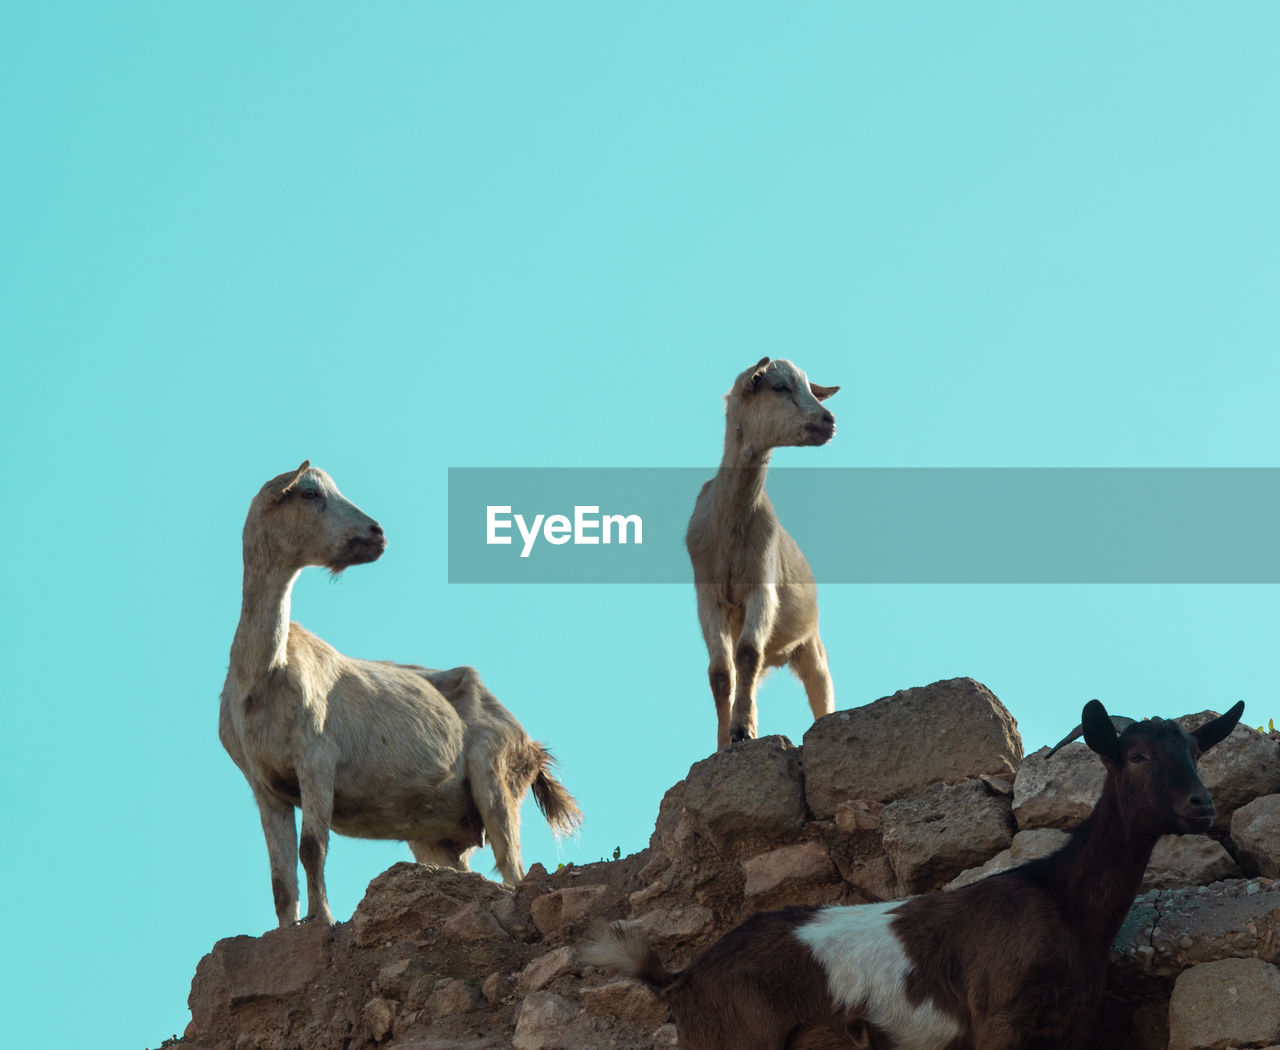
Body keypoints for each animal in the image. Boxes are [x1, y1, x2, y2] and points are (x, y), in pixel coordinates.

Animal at [218, 463, 581, 921]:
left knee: (511, 866)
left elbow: (312, 848)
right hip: (435, 831)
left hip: (495, 779)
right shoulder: (264, 785)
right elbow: (281, 881)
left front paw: (323, 919)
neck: (264, 674)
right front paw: (291, 928)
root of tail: (531, 746)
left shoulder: (316, 757)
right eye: (309, 493)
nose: (377, 533)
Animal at [586, 696, 1244, 1050]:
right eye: (1135, 756)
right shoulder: (999, 1023)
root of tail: (681, 978)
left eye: (1196, 751)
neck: (1063, 901)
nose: (1202, 805)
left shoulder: (1068, 1032)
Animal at [691, 355, 839, 752]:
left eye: (808, 386)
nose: (829, 420)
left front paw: (742, 731)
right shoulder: (708, 597)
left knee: (821, 691)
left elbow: (747, 653)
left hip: (811, 643)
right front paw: (725, 741)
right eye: (780, 387)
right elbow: (720, 672)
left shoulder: (761, 586)